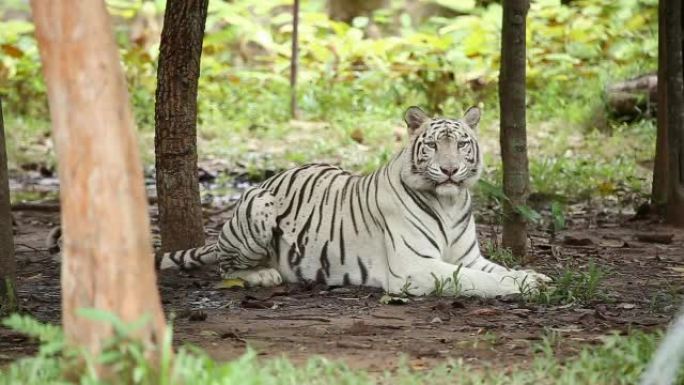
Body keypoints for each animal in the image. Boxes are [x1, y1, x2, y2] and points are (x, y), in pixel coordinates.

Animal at [156, 106, 552, 296]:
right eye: (433, 145)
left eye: (462, 144)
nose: (450, 170)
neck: (450, 202)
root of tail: (271, 177)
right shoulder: (415, 266)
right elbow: (477, 281)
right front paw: (525, 286)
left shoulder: (469, 257)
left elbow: (496, 270)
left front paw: (534, 276)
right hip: (258, 208)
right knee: (226, 267)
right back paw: (264, 274)